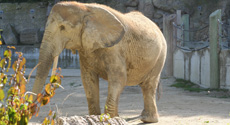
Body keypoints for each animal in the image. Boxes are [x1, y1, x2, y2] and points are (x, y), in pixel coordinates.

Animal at [31, 1, 166, 123]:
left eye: (62, 28)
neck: (85, 8)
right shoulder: (85, 48)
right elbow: (88, 79)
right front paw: (95, 118)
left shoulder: (115, 48)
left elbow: (118, 79)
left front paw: (109, 119)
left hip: (161, 55)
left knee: (149, 85)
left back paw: (148, 119)